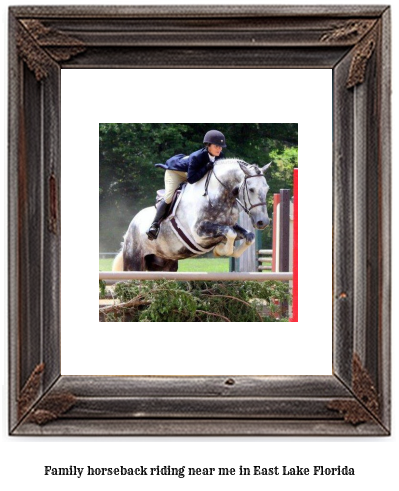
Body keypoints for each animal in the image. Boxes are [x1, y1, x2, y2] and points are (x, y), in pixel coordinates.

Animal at [114, 160, 274, 270]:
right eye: (251, 189)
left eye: (267, 189)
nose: (263, 222)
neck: (218, 196)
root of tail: (130, 228)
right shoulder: (199, 233)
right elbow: (230, 233)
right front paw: (220, 251)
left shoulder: (229, 227)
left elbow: (248, 236)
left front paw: (225, 250)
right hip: (134, 262)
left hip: (164, 264)